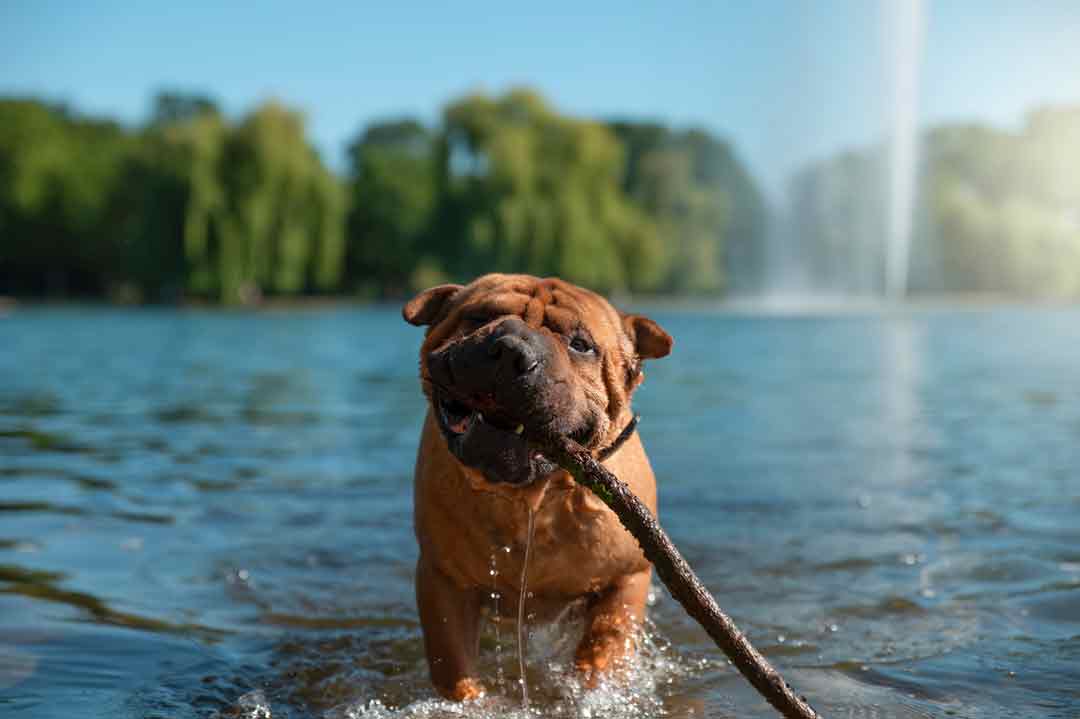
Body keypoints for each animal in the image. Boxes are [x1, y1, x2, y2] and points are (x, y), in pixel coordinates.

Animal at [406, 272, 669, 695]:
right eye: (479, 317)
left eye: (581, 345)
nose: (509, 350)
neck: (534, 497)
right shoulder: (444, 580)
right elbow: (453, 666)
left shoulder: (626, 578)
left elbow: (604, 648)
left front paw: (591, 689)